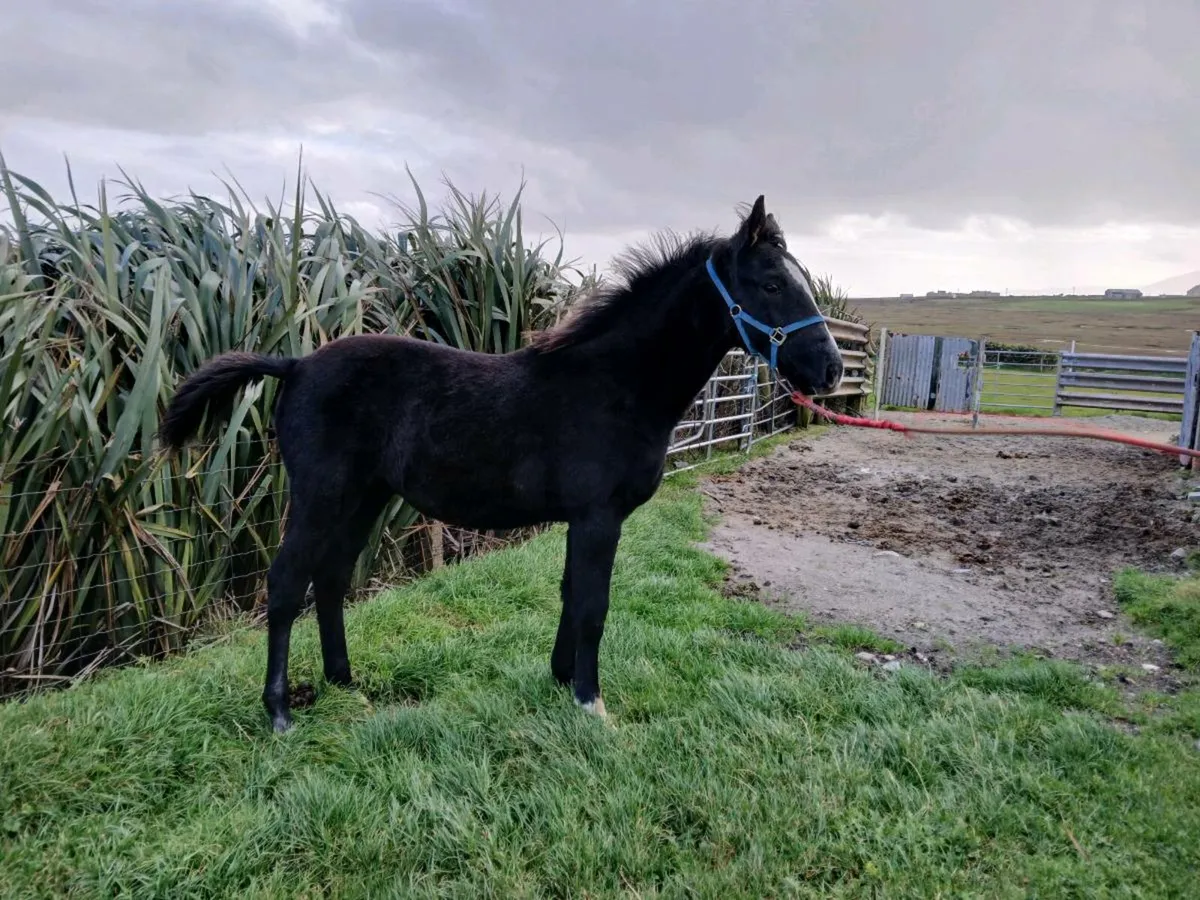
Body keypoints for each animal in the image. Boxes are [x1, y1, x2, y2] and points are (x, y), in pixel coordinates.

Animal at [159, 195, 844, 732]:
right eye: (771, 284)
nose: (831, 370)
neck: (614, 384)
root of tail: (296, 364)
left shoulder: (583, 521)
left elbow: (571, 595)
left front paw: (561, 681)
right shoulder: (598, 518)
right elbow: (593, 604)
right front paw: (592, 704)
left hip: (366, 498)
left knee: (329, 579)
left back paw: (346, 684)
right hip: (322, 496)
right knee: (284, 585)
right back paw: (279, 712)